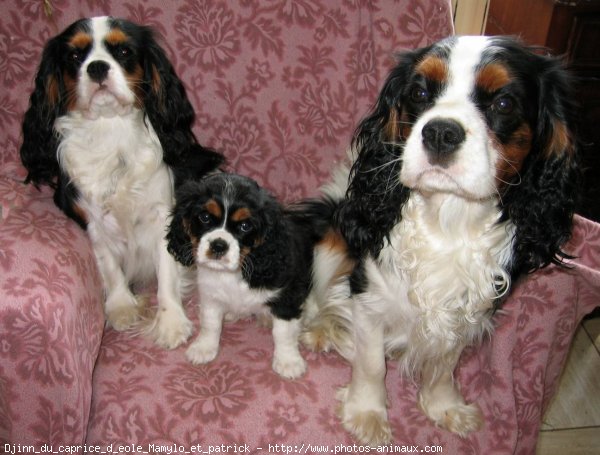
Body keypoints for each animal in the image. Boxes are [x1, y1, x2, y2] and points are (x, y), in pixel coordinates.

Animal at [20, 16, 225, 348]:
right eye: (75, 56)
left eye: (124, 52)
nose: (97, 67)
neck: (109, 128)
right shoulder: (93, 221)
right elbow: (109, 265)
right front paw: (121, 307)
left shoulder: (162, 217)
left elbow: (166, 272)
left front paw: (170, 322)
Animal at [165, 173, 328, 380]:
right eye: (205, 217)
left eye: (244, 226)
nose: (218, 245)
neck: (235, 272)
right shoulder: (211, 295)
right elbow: (210, 323)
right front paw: (204, 347)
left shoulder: (287, 297)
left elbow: (283, 332)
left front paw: (288, 361)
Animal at [302, 35, 580, 446]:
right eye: (419, 93)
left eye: (503, 103)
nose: (440, 132)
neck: (448, 221)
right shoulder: (369, 297)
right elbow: (370, 363)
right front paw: (367, 413)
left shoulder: (469, 307)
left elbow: (444, 363)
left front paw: (443, 406)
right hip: (331, 240)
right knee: (320, 297)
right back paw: (321, 328)